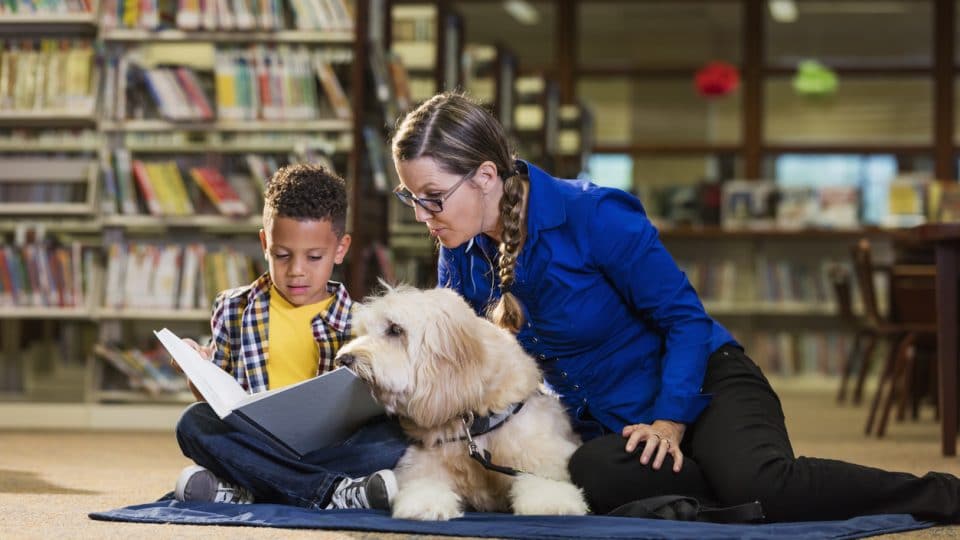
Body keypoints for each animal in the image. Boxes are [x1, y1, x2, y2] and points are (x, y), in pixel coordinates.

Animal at [338, 286, 592, 520]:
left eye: (395, 329)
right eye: (363, 331)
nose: (344, 359)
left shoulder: (540, 452)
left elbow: (545, 478)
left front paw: (552, 502)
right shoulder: (424, 461)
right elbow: (423, 482)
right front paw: (424, 504)